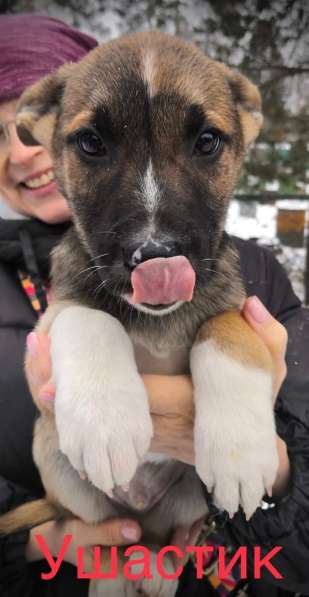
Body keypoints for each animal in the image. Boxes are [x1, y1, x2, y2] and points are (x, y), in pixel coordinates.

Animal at [0, 32, 276, 596]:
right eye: (91, 143)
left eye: (207, 141)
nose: (155, 255)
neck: (155, 318)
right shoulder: (54, 313)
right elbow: (90, 316)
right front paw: (103, 421)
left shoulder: (235, 300)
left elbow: (225, 328)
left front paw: (240, 451)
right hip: (60, 469)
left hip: (183, 508)